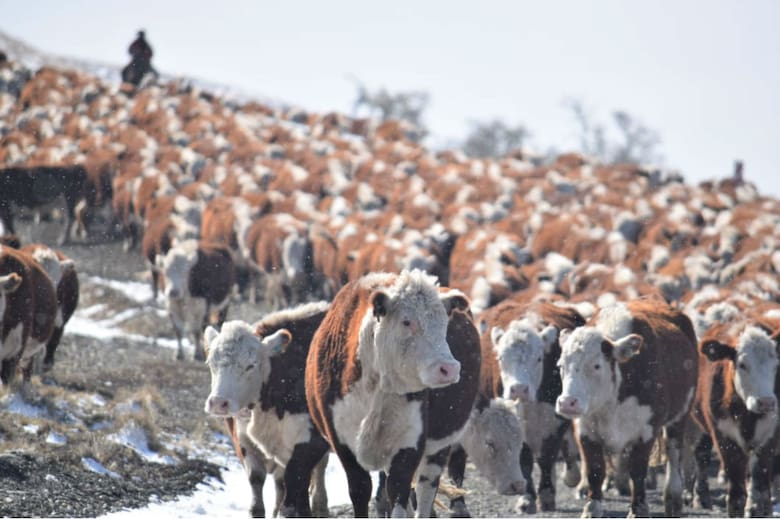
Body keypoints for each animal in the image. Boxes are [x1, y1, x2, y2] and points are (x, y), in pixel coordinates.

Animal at [203, 301, 332, 517]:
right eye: (211, 363)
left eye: (250, 365)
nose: (218, 403)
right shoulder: (244, 441)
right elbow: (257, 483)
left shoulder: (311, 442)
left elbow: (296, 484)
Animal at [304, 270, 466, 517]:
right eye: (406, 321)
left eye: (444, 322)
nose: (448, 368)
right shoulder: (341, 441)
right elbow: (360, 489)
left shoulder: (410, 443)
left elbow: (398, 490)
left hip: (438, 448)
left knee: (425, 489)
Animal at [555, 299, 698, 517]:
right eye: (561, 366)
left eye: (596, 366)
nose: (567, 402)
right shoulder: (586, 429)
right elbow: (595, 470)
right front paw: (592, 508)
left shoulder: (647, 430)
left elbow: (637, 470)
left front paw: (638, 509)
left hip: (681, 415)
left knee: (674, 452)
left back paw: (673, 497)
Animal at [690, 319, 779, 517]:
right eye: (743, 364)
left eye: (776, 365)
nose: (766, 402)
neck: (747, 414)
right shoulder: (724, 437)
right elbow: (737, 491)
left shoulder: (771, 435)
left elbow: (760, 482)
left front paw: (758, 509)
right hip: (701, 428)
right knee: (701, 456)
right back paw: (701, 498)